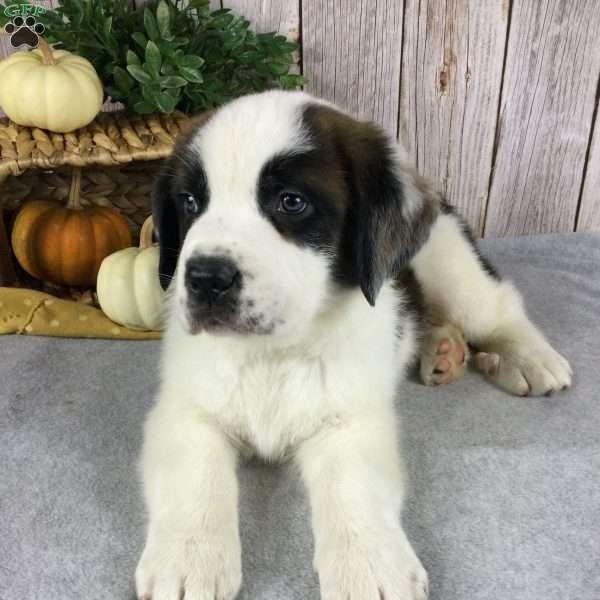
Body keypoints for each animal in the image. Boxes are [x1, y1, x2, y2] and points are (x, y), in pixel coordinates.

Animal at [136, 90, 572, 600]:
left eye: (291, 202)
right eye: (189, 202)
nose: (205, 278)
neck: (273, 354)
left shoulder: (349, 419)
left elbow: (354, 485)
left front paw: (369, 564)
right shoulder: (187, 409)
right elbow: (195, 474)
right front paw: (190, 558)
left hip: (453, 267)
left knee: (497, 306)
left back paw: (530, 357)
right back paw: (444, 351)